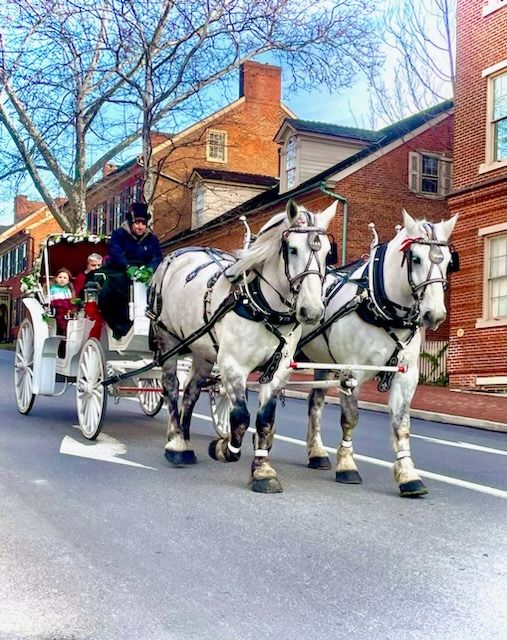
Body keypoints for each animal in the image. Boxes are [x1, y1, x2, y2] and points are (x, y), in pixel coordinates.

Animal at [150, 200, 338, 496]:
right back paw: (177, 443)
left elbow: (264, 420)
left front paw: (262, 470)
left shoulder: (278, 370)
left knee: (190, 392)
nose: (312, 311)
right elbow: (240, 417)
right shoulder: (233, 365)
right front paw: (223, 448)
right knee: (171, 388)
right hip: (168, 340)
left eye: (329, 253)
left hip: (203, 351)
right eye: (292, 249)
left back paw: (185, 438)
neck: (263, 307)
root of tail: (179, 254)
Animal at [298, 210, 460, 496]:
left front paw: (408, 475)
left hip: (322, 362)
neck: (379, 304)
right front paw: (347, 465)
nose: (435, 314)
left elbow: (401, 425)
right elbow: (350, 419)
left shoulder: (406, 375)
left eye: (450, 262)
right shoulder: (351, 371)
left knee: (314, 403)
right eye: (415, 259)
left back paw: (316, 453)